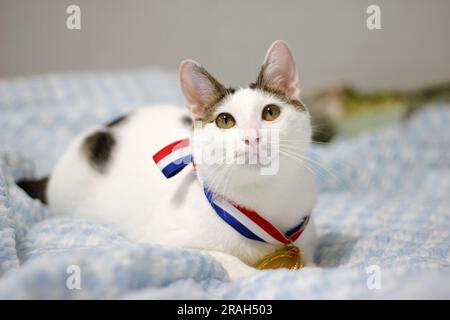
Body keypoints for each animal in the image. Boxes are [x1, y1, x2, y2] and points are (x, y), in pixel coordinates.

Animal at [21, 40, 318, 280]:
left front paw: (313, 270)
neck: (264, 197)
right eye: (225, 120)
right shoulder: (164, 242)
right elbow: (223, 259)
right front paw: (267, 275)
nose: (252, 138)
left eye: (270, 113)